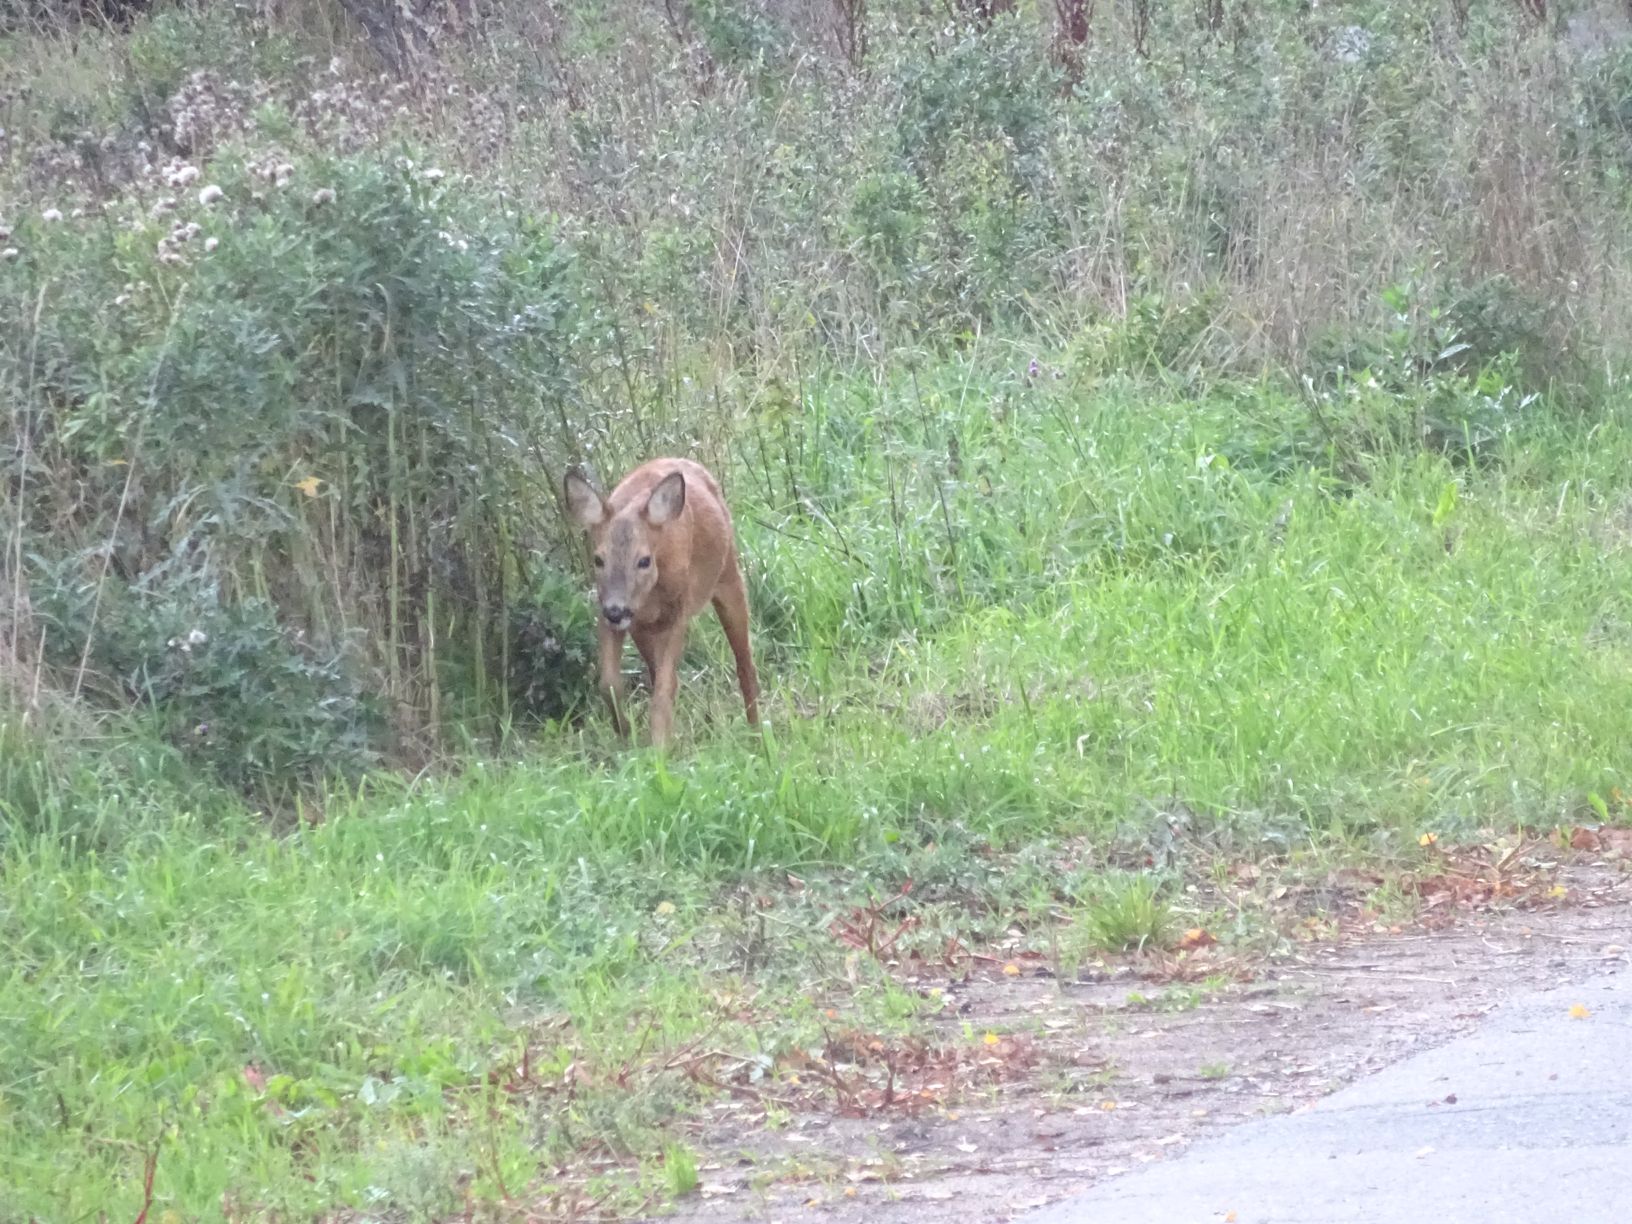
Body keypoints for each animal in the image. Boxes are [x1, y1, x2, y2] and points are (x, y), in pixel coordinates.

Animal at [564, 456, 760, 747]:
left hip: (728, 575)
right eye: (598, 559)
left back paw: (757, 732)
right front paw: (626, 734)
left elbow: (665, 687)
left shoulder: (677, 611)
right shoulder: (611, 612)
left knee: (744, 662)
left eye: (644, 560)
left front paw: (659, 746)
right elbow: (609, 683)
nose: (616, 611)